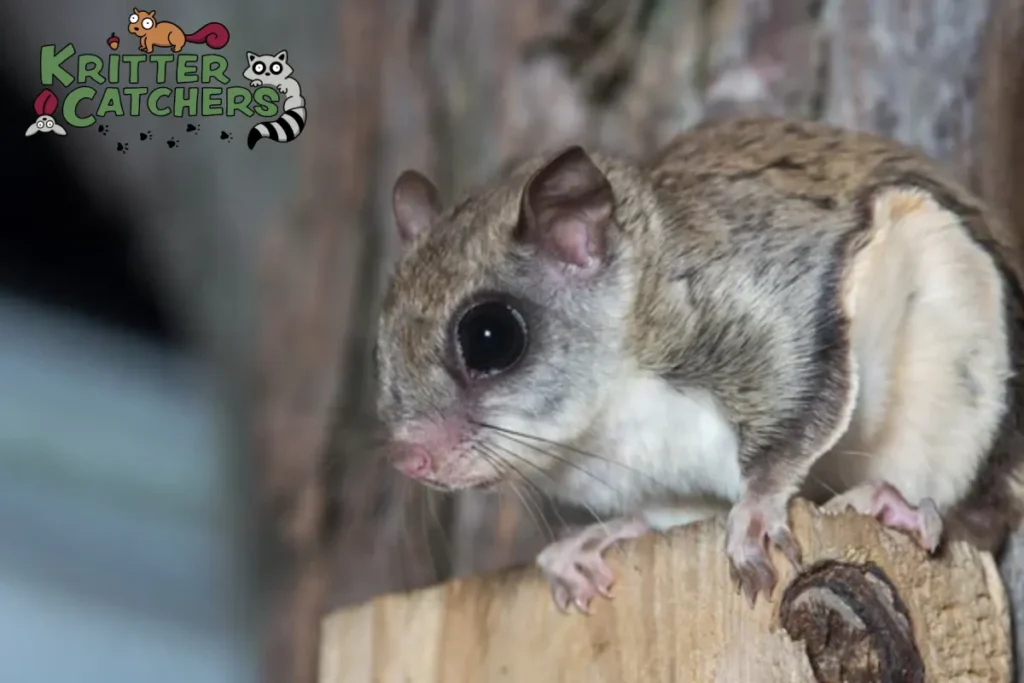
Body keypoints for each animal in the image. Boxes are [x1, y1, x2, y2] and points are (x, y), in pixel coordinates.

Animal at [374, 3, 1024, 618]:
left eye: (491, 336)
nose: (410, 460)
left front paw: (755, 514)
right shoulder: (661, 481)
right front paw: (590, 544)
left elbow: (795, 420)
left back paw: (890, 505)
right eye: (379, 348)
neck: (605, 415)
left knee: (974, 518)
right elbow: (668, 514)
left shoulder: (767, 312)